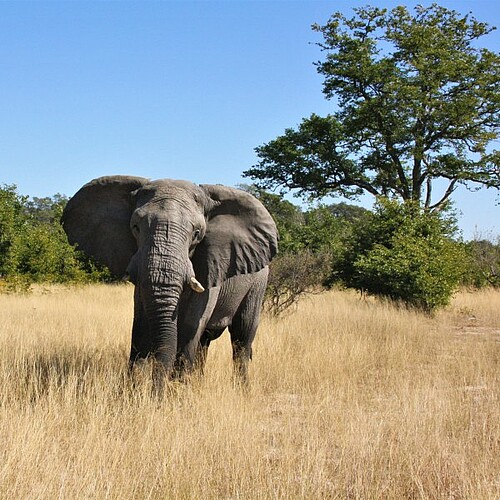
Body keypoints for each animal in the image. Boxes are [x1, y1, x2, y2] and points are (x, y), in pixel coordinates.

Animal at [61, 176, 278, 386]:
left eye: (197, 234)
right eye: (135, 227)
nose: (157, 388)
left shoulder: (211, 265)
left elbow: (191, 324)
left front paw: (176, 392)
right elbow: (140, 325)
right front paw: (134, 388)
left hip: (258, 283)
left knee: (242, 337)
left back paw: (241, 388)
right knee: (205, 342)